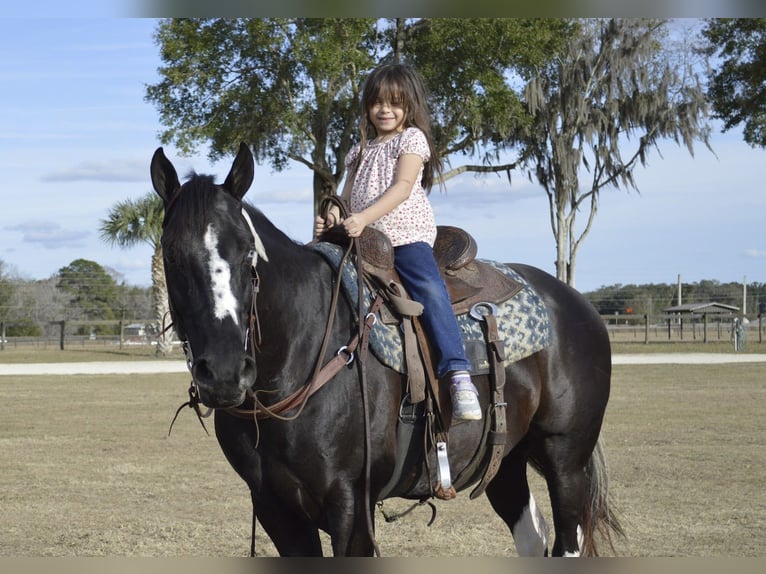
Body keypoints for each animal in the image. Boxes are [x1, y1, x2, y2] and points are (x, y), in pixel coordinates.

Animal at [151, 142, 623, 557]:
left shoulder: (351, 506)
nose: (225, 374)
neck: (299, 356)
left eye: (248, 254)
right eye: (171, 256)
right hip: (507, 460)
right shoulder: (275, 508)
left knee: (567, 540)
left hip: (566, 460)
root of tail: (577, 304)